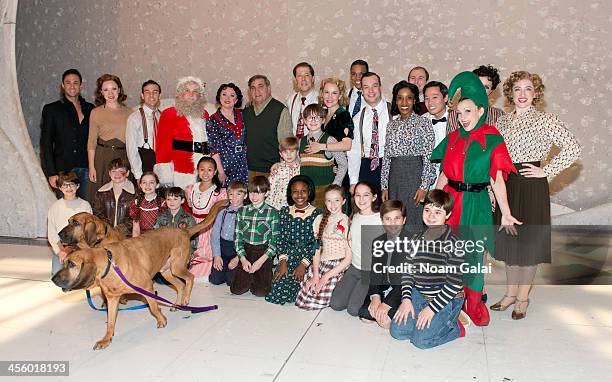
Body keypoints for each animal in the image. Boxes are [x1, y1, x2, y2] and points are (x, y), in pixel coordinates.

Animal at [52, 198, 227, 350]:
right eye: (65, 262)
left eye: (71, 264)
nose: (53, 279)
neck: (111, 264)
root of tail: (184, 230)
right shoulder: (112, 298)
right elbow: (110, 322)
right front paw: (106, 339)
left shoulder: (147, 287)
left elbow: (154, 307)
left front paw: (161, 320)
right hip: (166, 272)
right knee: (179, 285)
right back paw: (177, 303)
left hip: (177, 267)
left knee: (190, 278)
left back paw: (185, 300)